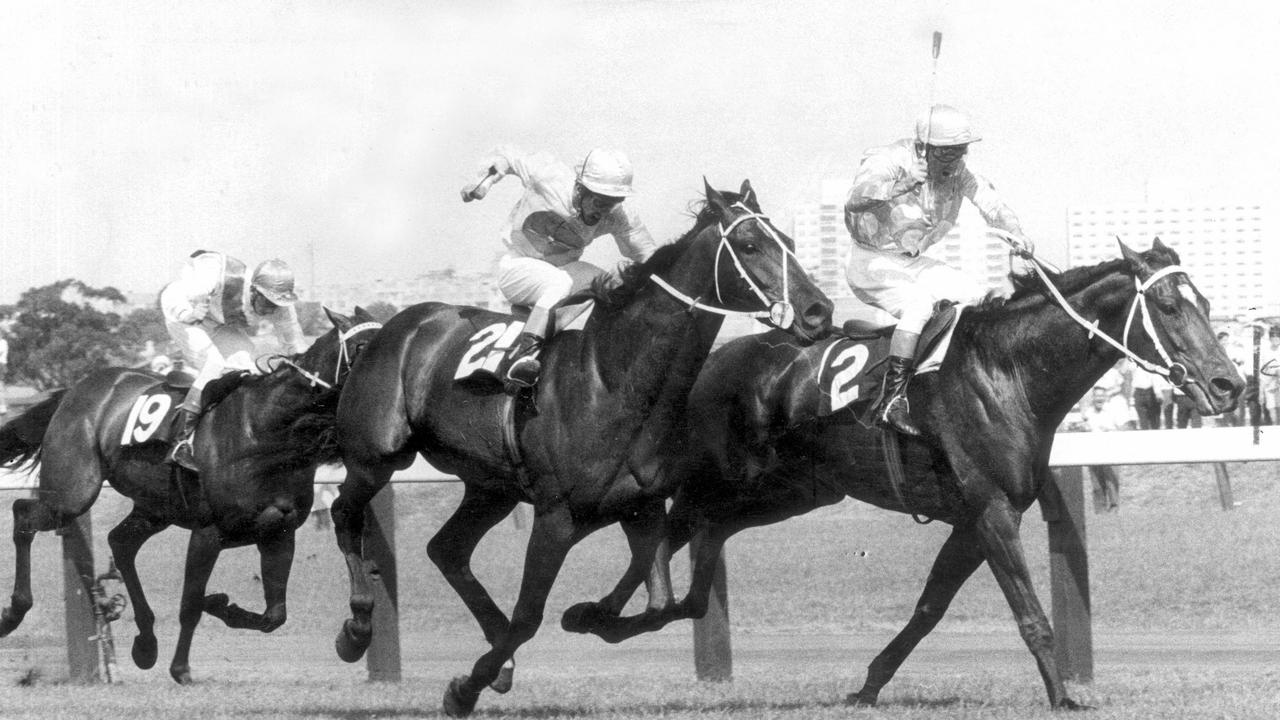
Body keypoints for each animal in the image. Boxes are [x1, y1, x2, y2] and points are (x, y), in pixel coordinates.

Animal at [0, 304, 378, 681]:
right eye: (361, 346)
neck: (267, 430)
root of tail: (75, 389)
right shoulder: (208, 532)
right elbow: (191, 606)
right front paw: (181, 667)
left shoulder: (279, 531)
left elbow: (274, 614)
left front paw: (223, 606)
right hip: (74, 492)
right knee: (23, 513)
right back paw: (13, 612)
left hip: (154, 507)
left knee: (121, 542)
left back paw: (146, 642)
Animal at [325, 179, 834, 712]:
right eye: (749, 245)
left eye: (790, 243)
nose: (819, 311)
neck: (612, 381)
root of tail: (396, 324)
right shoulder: (556, 516)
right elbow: (529, 616)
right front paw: (464, 689)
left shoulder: (642, 506)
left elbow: (660, 604)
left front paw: (585, 616)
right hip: (377, 456)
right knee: (345, 513)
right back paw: (357, 629)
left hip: (491, 487)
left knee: (447, 549)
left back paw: (499, 660)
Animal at [565, 239, 1244, 707]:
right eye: (1167, 305)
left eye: (1208, 303)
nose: (1228, 385)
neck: (1009, 372)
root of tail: (714, 360)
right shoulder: (993, 512)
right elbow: (1031, 616)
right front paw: (1065, 697)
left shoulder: (973, 521)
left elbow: (928, 609)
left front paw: (868, 685)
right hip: (725, 472)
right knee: (670, 522)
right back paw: (607, 612)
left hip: (793, 491)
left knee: (702, 530)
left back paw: (612, 614)